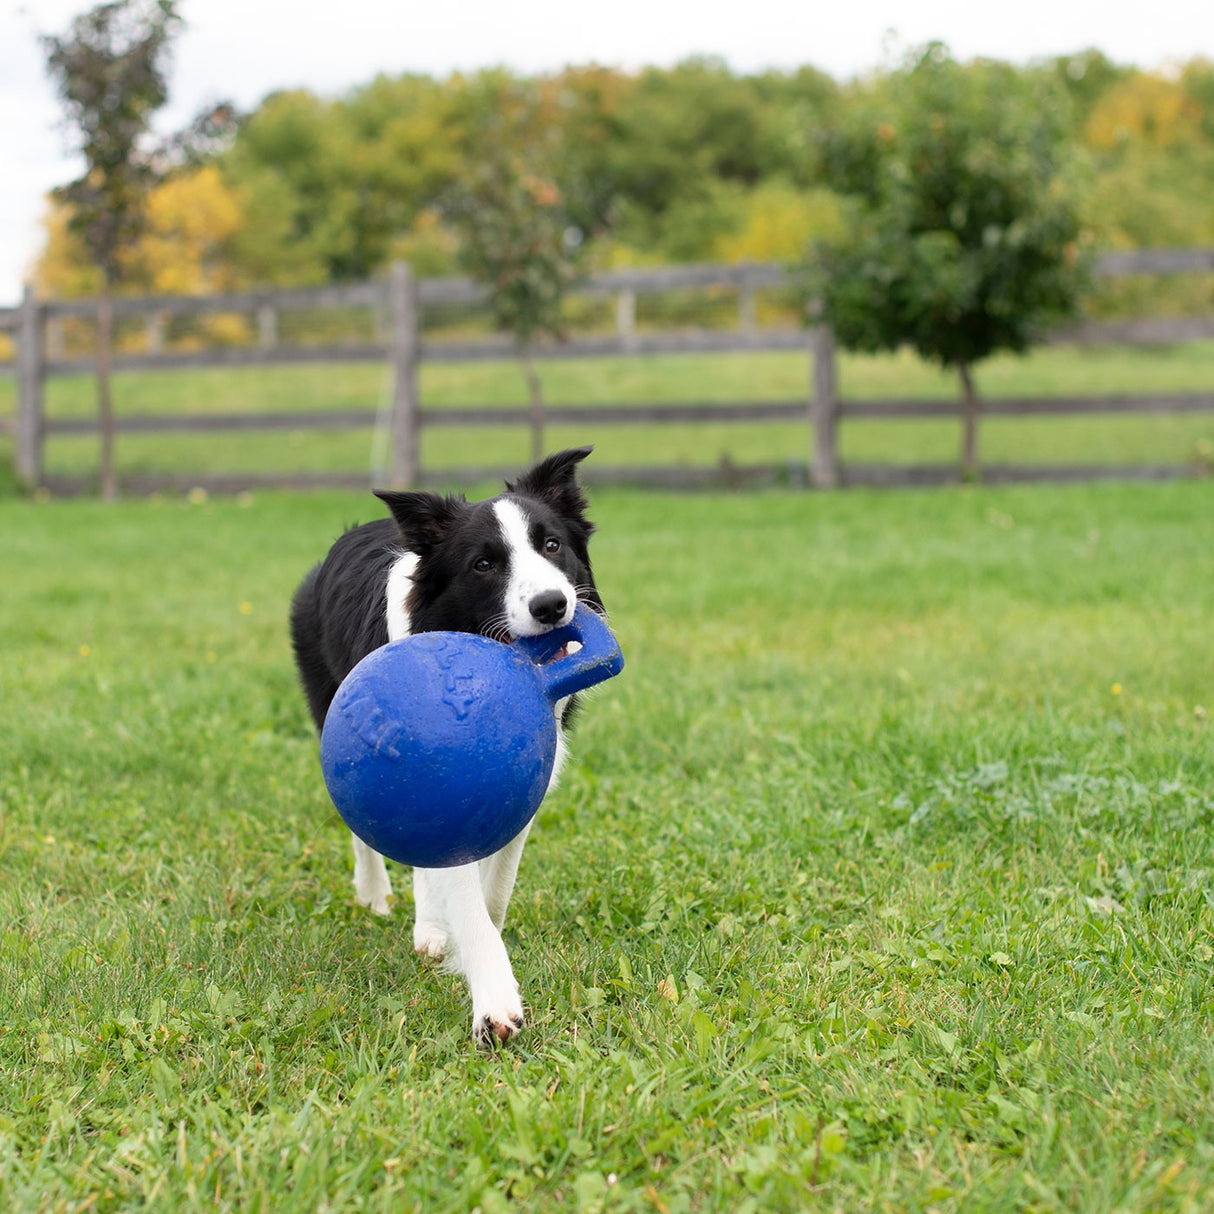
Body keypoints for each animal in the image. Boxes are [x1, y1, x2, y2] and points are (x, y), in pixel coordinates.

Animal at [288, 446, 602, 1044]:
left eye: (552, 545)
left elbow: (493, 886)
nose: (552, 605)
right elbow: (461, 890)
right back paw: (381, 898)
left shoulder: (523, 780)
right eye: (483, 564)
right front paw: (494, 1004)